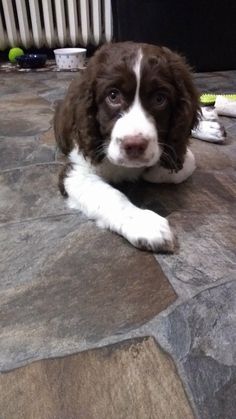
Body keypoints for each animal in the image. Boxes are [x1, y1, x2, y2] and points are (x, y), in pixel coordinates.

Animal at [54, 41, 199, 253]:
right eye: (113, 96)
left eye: (159, 99)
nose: (135, 146)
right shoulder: (75, 169)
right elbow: (110, 195)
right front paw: (145, 225)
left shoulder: (179, 151)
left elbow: (181, 167)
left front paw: (152, 172)